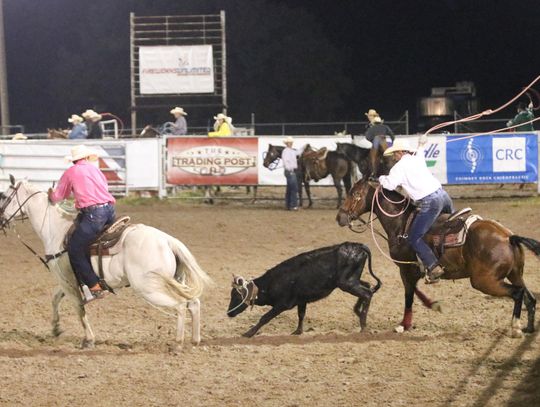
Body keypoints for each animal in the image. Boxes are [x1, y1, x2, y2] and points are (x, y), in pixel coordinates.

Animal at [0, 178, 211, 350]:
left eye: (3, 196)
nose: (1, 219)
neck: (55, 230)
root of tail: (168, 240)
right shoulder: (67, 281)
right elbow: (55, 297)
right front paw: (56, 328)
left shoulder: (67, 282)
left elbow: (79, 309)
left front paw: (88, 340)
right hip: (175, 281)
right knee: (194, 303)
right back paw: (195, 340)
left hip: (149, 288)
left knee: (180, 305)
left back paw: (178, 343)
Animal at [226, 242, 382, 338]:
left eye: (237, 296)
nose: (229, 313)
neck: (272, 283)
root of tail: (358, 246)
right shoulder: (302, 300)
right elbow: (301, 315)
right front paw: (298, 331)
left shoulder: (282, 304)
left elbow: (265, 317)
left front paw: (248, 333)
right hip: (352, 280)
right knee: (368, 285)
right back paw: (358, 312)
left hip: (346, 283)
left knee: (367, 293)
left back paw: (363, 326)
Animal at [336, 178, 536, 338]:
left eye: (355, 194)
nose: (340, 217)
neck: (401, 223)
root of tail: (508, 236)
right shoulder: (414, 269)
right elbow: (415, 290)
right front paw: (433, 305)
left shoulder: (405, 269)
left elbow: (409, 294)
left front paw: (403, 325)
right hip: (515, 274)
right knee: (530, 298)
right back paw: (529, 328)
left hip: (484, 280)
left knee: (517, 293)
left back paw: (516, 328)